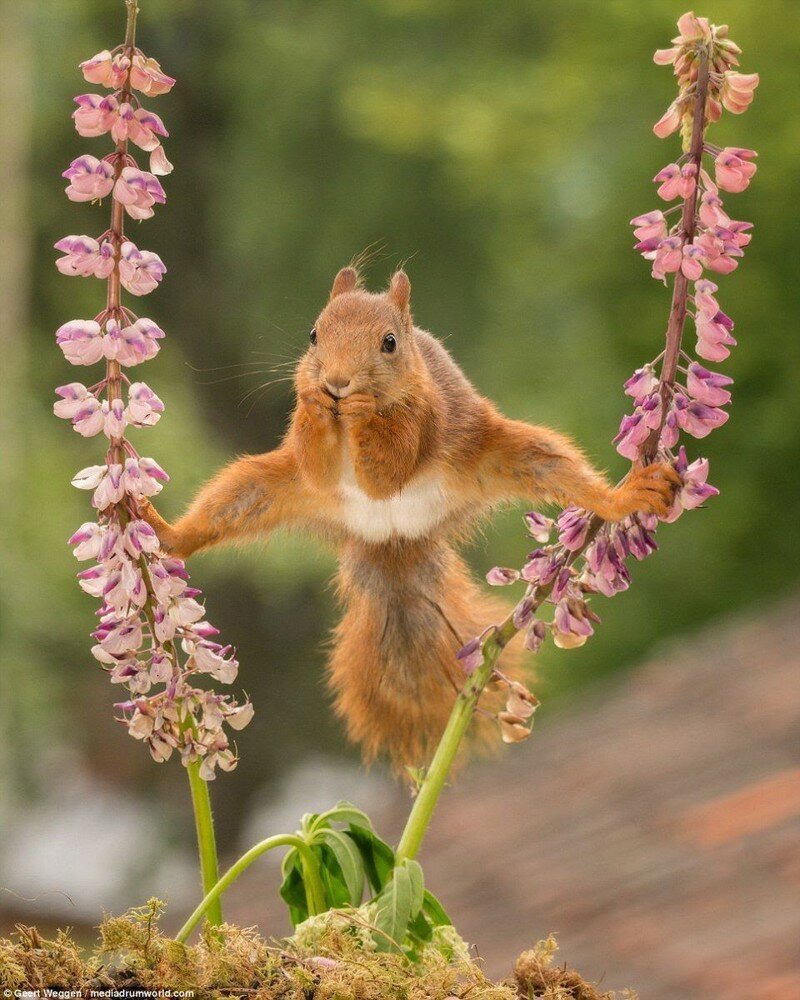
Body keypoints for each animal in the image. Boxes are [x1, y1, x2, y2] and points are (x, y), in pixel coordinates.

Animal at [141, 268, 680, 772]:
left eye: (389, 343)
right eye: (313, 334)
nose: (337, 382)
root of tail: (393, 537)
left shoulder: (425, 417)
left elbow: (389, 468)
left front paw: (361, 409)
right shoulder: (311, 467)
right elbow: (316, 462)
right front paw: (315, 401)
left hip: (506, 454)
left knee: (557, 468)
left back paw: (623, 497)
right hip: (263, 488)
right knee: (227, 505)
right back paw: (167, 534)